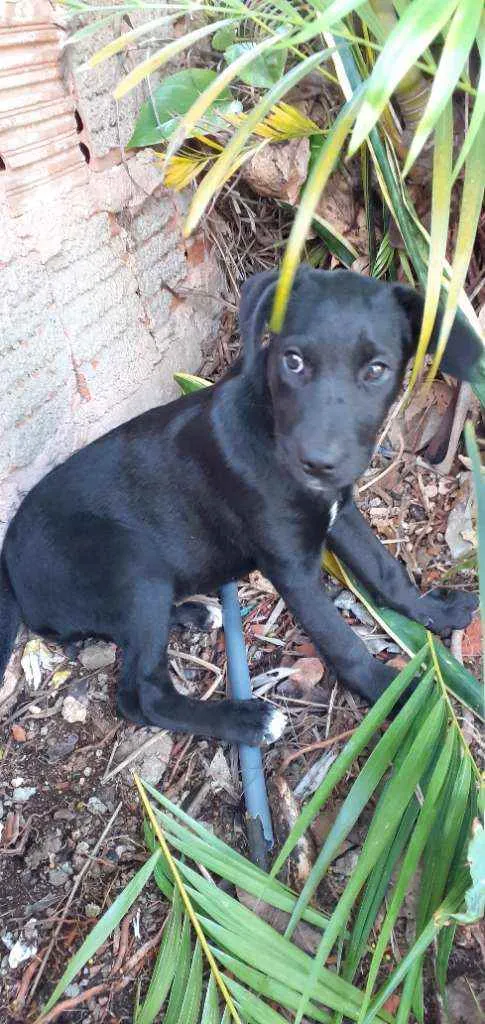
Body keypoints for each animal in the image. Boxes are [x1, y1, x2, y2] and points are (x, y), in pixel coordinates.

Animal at [0, 266, 478, 745]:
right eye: (293, 360)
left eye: (377, 369)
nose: (317, 462)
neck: (269, 428)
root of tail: (9, 564)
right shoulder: (290, 567)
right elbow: (341, 642)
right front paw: (393, 693)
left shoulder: (339, 513)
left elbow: (385, 570)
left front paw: (434, 610)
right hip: (131, 563)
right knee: (144, 695)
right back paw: (247, 720)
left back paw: (195, 612)